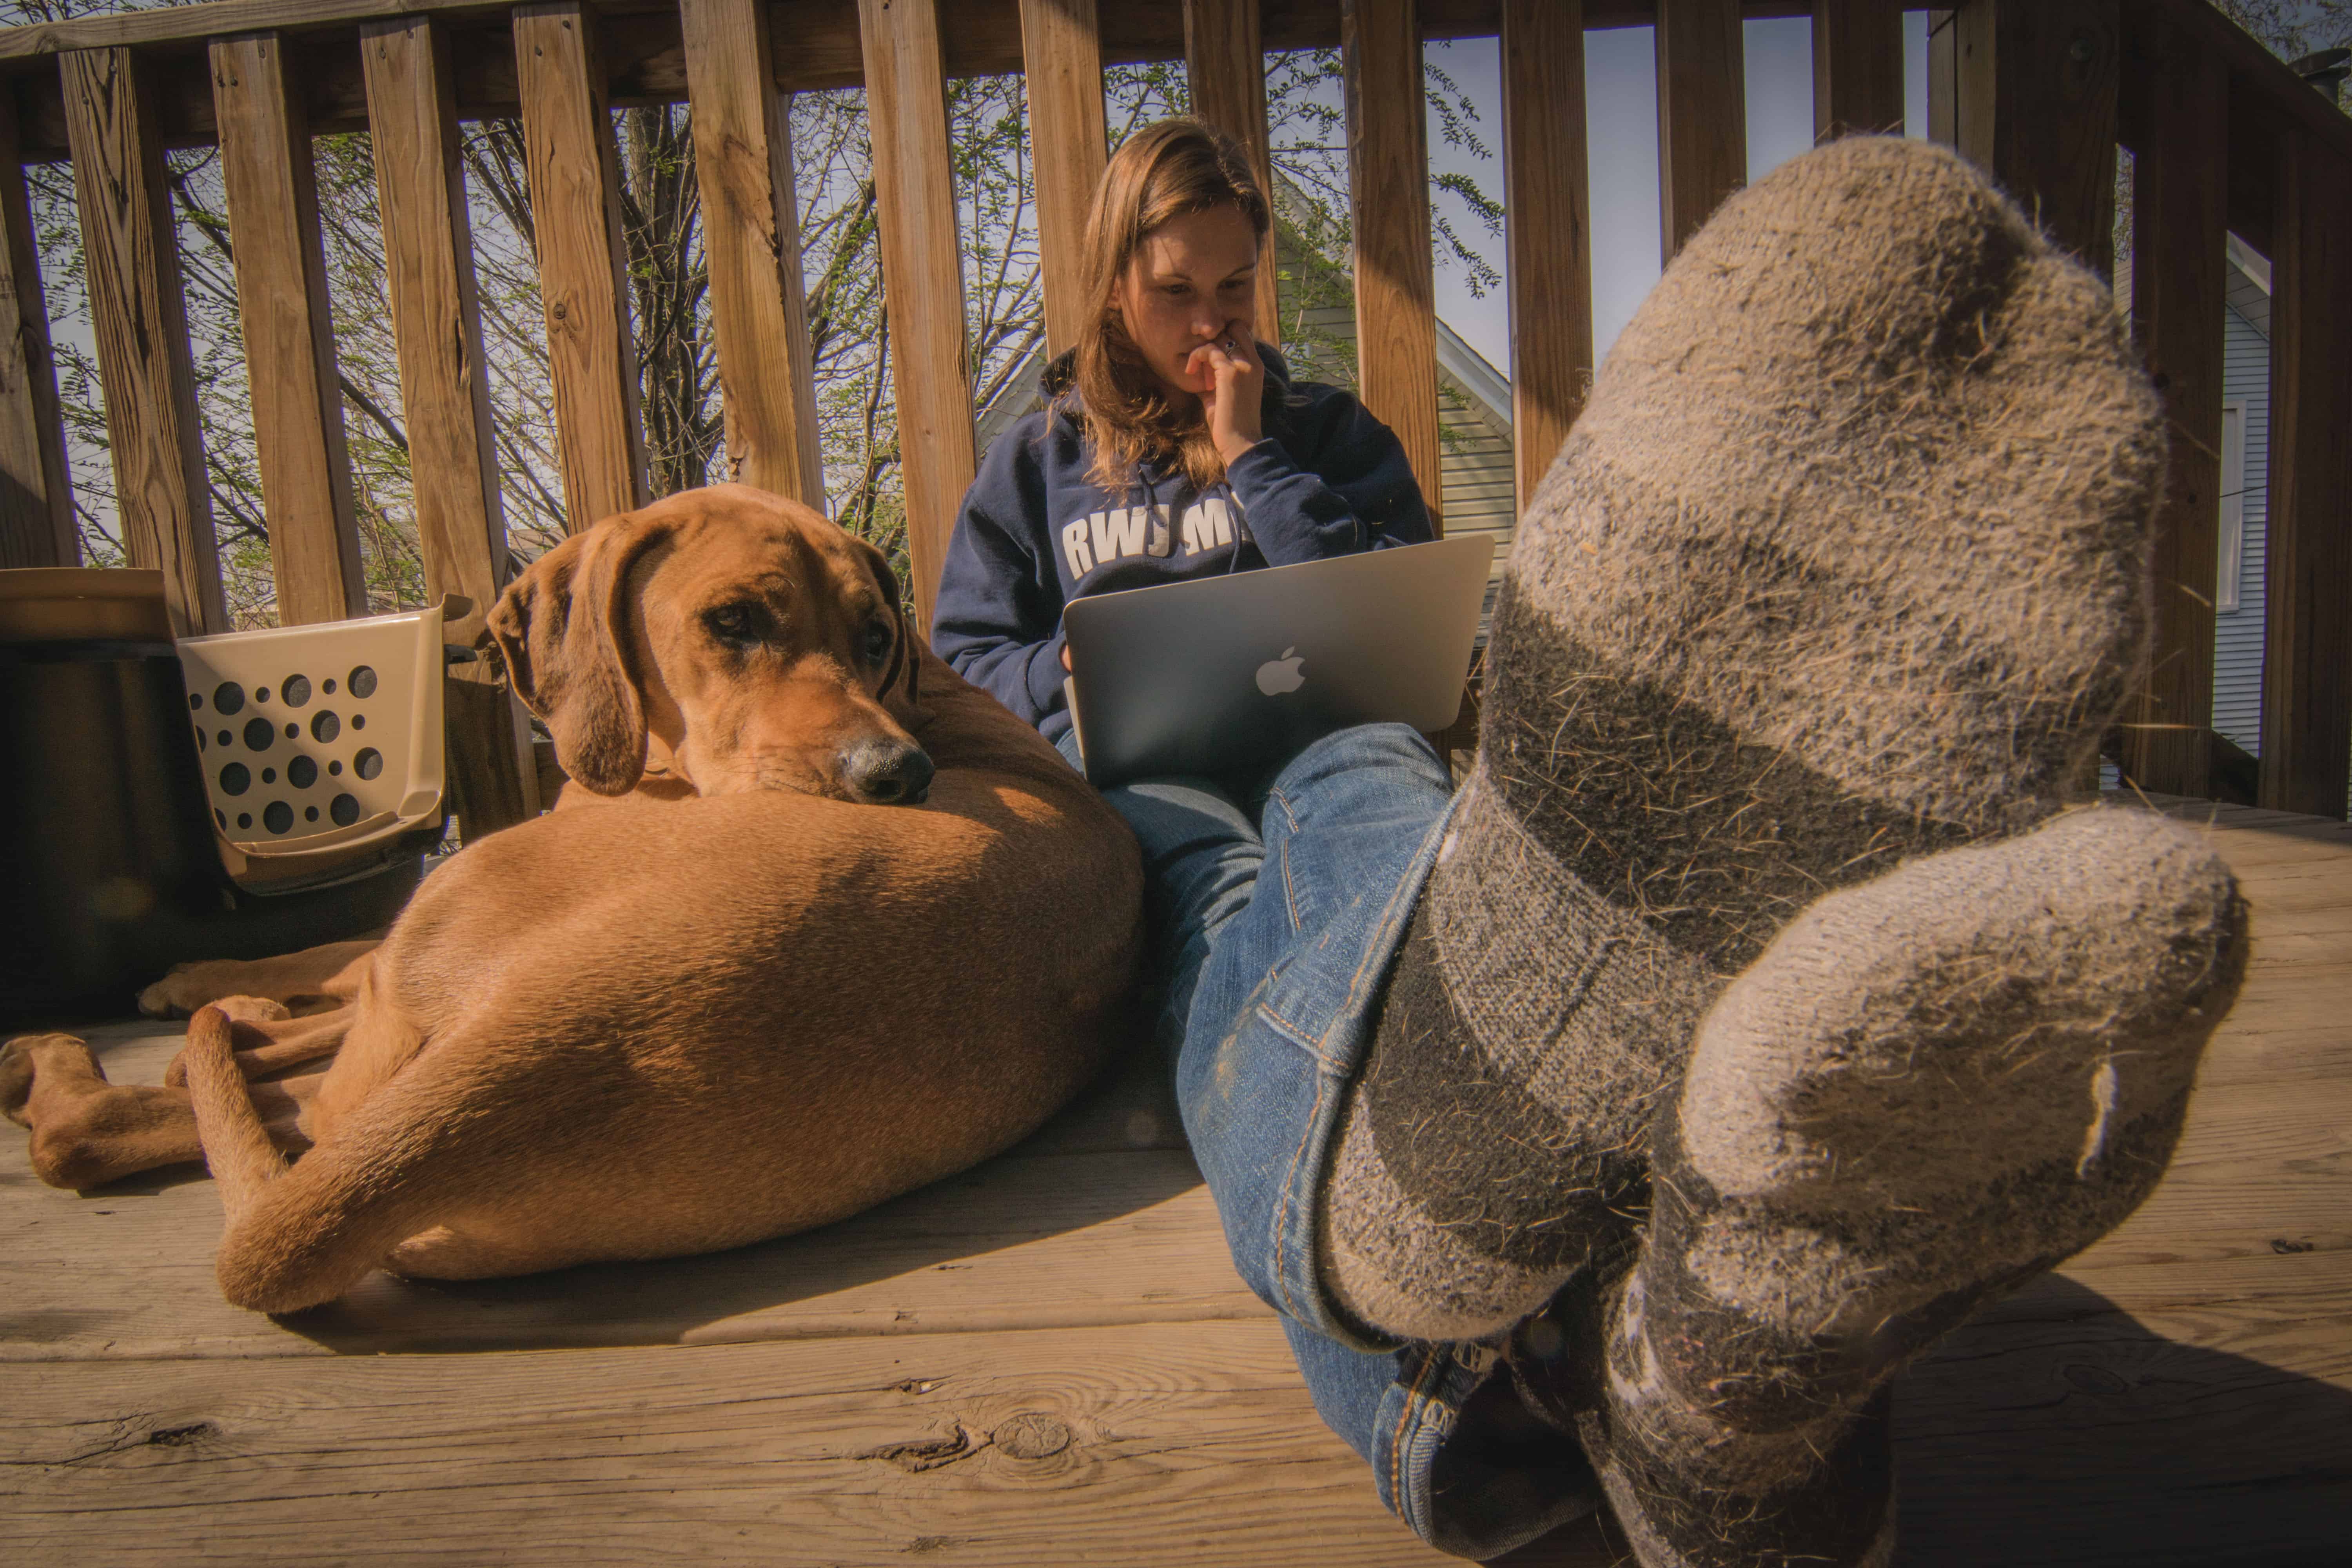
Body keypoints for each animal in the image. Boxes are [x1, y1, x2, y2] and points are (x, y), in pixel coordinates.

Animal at [0, 486, 1138, 1316]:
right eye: (733, 621)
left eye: (872, 637)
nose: (896, 773)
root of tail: (558, 1046)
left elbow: (328, 948)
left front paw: (211, 978)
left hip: (447, 927)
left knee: (157, 1104)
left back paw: (90, 1053)